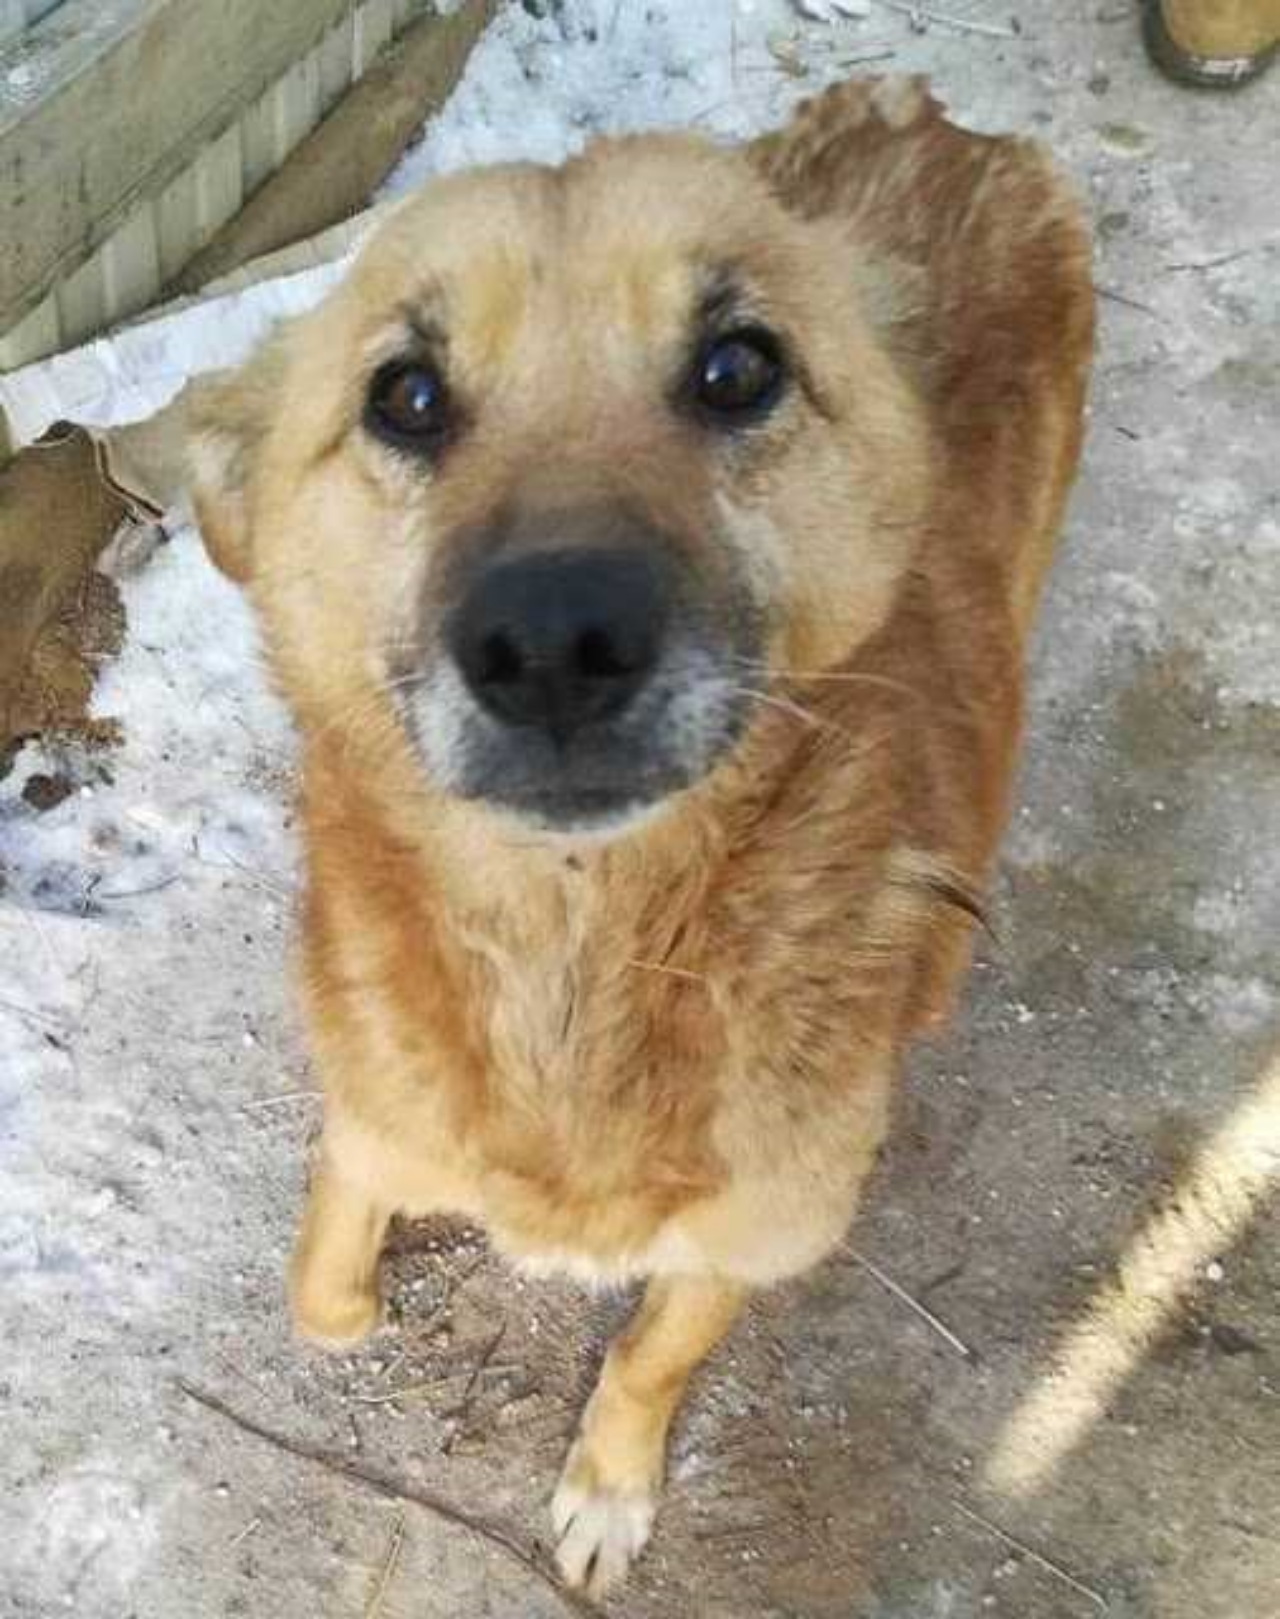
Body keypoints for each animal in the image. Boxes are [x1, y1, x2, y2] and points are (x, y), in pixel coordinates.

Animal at [187, 76, 1093, 1593]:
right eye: (404, 395)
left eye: (736, 369)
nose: (556, 642)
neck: (576, 958)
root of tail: (937, 119)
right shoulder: (374, 1112)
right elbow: (326, 1273)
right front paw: (348, 1299)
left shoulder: (759, 1230)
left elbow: (652, 1358)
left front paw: (607, 1485)